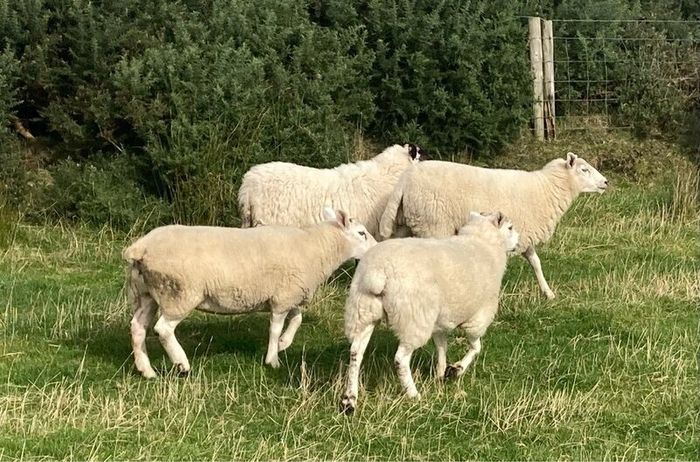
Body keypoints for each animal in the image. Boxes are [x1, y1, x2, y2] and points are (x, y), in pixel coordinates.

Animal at [123, 207, 377, 378]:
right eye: (361, 233)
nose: (376, 249)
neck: (317, 247)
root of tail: (140, 247)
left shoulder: (289, 294)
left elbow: (297, 319)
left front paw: (283, 344)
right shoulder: (282, 297)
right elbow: (275, 329)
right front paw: (273, 359)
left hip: (147, 293)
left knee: (137, 328)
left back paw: (146, 370)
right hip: (179, 293)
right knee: (163, 329)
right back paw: (182, 364)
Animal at [340, 211, 519, 414]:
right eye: (510, 227)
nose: (518, 241)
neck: (484, 242)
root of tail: (378, 272)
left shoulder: (441, 321)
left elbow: (441, 347)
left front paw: (441, 374)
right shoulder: (478, 317)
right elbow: (476, 347)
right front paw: (456, 369)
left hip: (363, 312)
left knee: (356, 352)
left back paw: (349, 400)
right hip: (413, 319)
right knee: (400, 359)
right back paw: (413, 394)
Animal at [379, 152, 608, 299]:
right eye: (584, 169)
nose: (606, 182)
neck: (547, 188)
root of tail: (405, 179)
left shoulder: (524, 235)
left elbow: (536, 262)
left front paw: (548, 292)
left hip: (406, 224)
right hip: (433, 224)